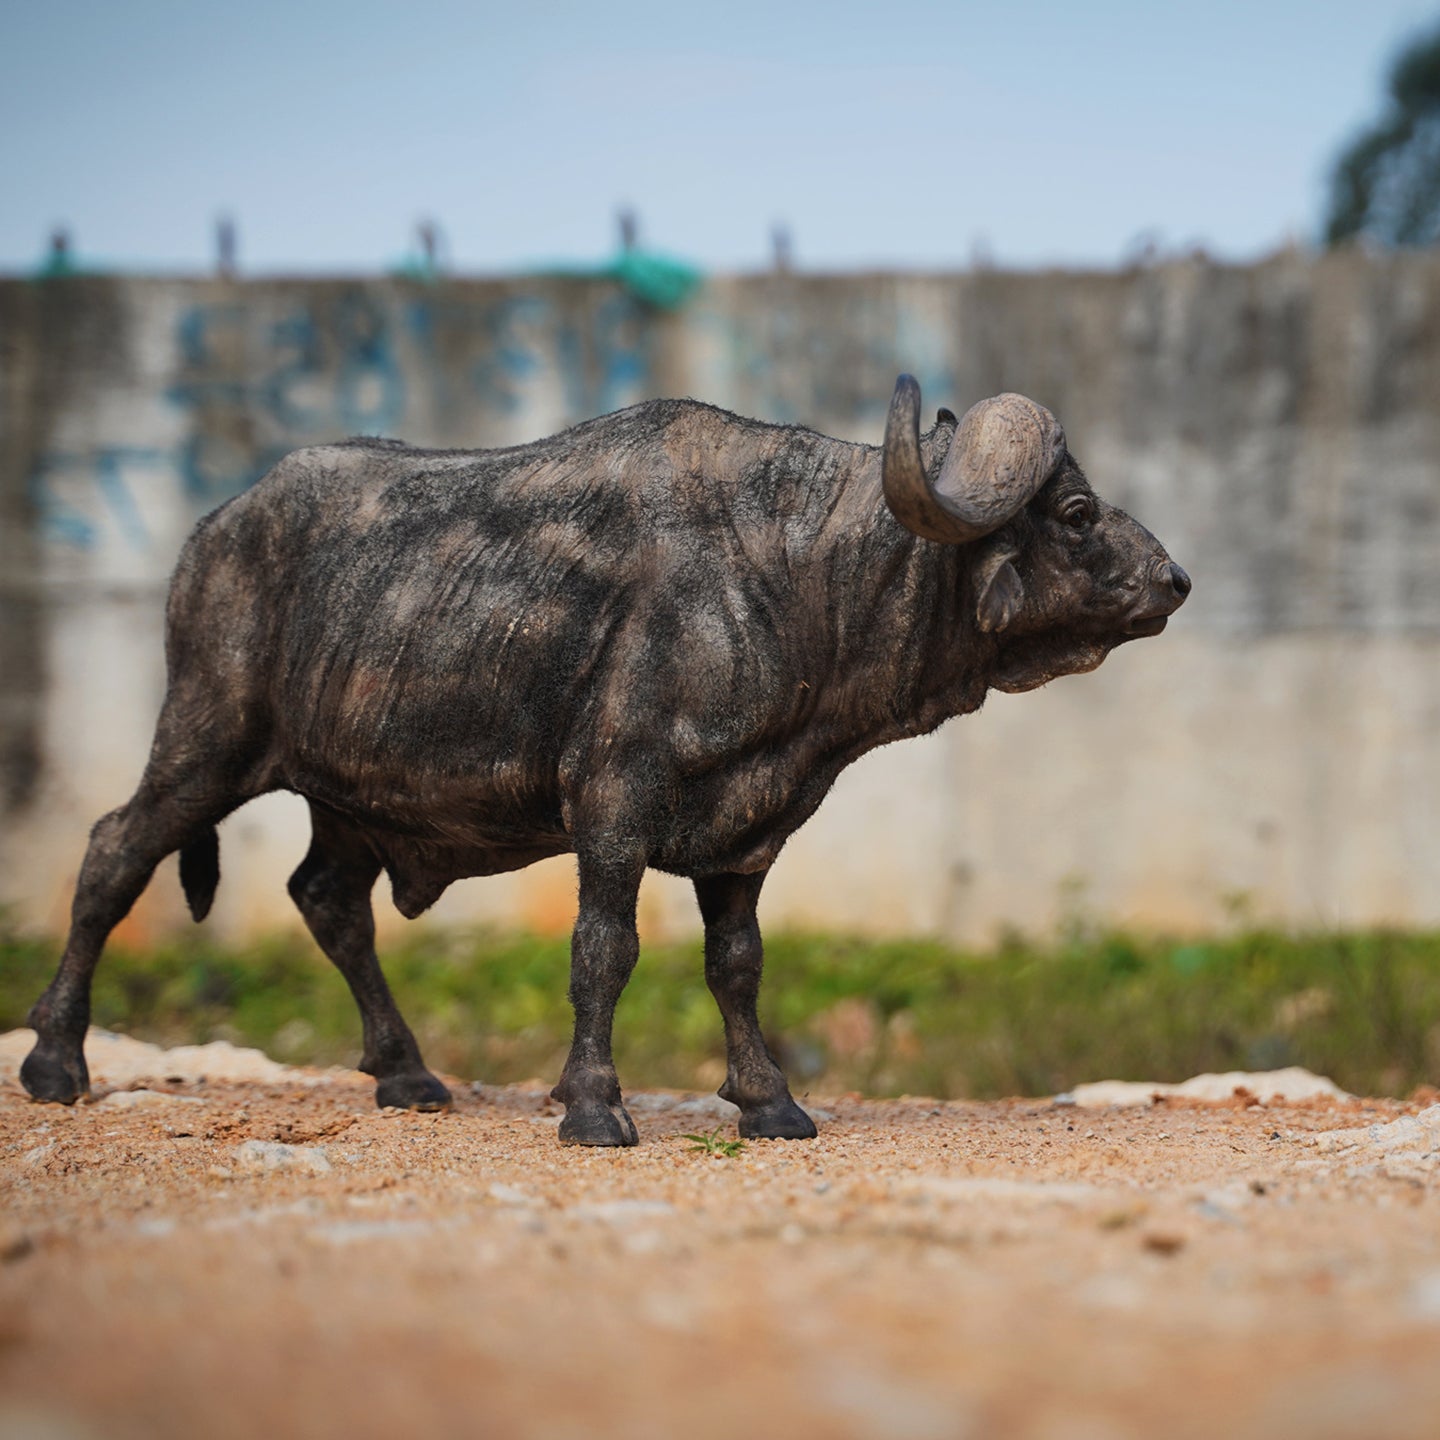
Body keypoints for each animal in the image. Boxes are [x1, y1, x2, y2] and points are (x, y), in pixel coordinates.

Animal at [22, 376, 1189, 1144]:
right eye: (1077, 512)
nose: (1175, 578)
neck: (790, 576)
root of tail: (213, 534)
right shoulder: (614, 802)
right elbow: (603, 949)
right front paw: (592, 1104)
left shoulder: (749, 830)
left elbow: (737, 963)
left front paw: (769, 1101)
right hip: (207, 738)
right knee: (113, 853)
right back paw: (54, 1056)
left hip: (347, 796)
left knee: (327, 898)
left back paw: (407, 1073)